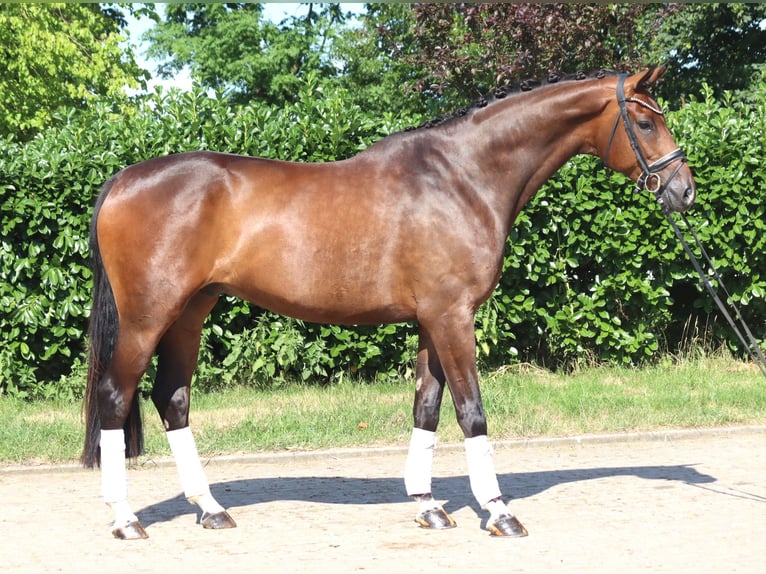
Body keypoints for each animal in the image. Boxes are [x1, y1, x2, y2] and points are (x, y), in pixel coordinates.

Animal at [82, 67, 695, 539]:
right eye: (645, 121)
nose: (684, 190)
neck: (463, 177)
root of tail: (123, 180)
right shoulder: (453, 317)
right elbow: (471, 412)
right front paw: (498, 512)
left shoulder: (431, 320)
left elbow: (427, 406)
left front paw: (429, 506)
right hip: (148, 317)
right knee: (115, 397)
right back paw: (125, 519)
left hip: (190, 313)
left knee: (172, 398)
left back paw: (210, 510)